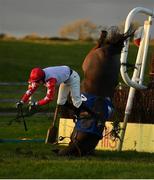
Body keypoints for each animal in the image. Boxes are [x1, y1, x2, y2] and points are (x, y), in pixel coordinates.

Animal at [56, 26, 134, 156]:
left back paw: (103, 35)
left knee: (98, 44)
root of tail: (110, 50)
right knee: (100, 43)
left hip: (90, 57)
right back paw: (103, 35)